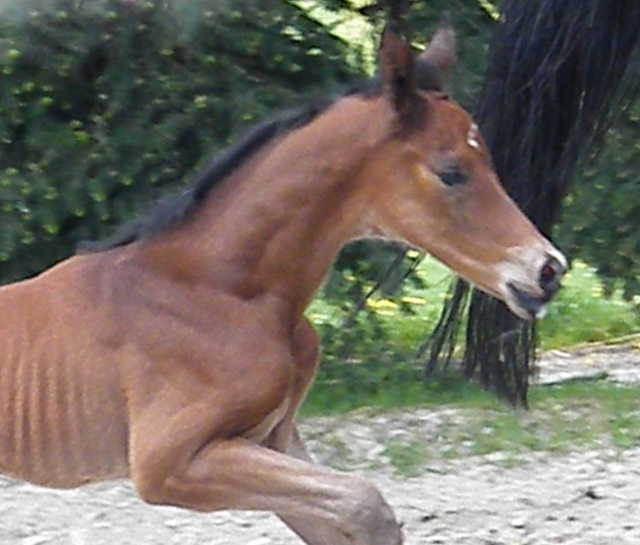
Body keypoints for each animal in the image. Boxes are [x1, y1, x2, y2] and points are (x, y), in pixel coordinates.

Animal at [0, 23, 568, 544]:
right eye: (450, 172)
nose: (548, 270)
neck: (221, 292)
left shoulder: (272, 438)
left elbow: (345, 513)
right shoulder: (170, 462)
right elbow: (365, 504)